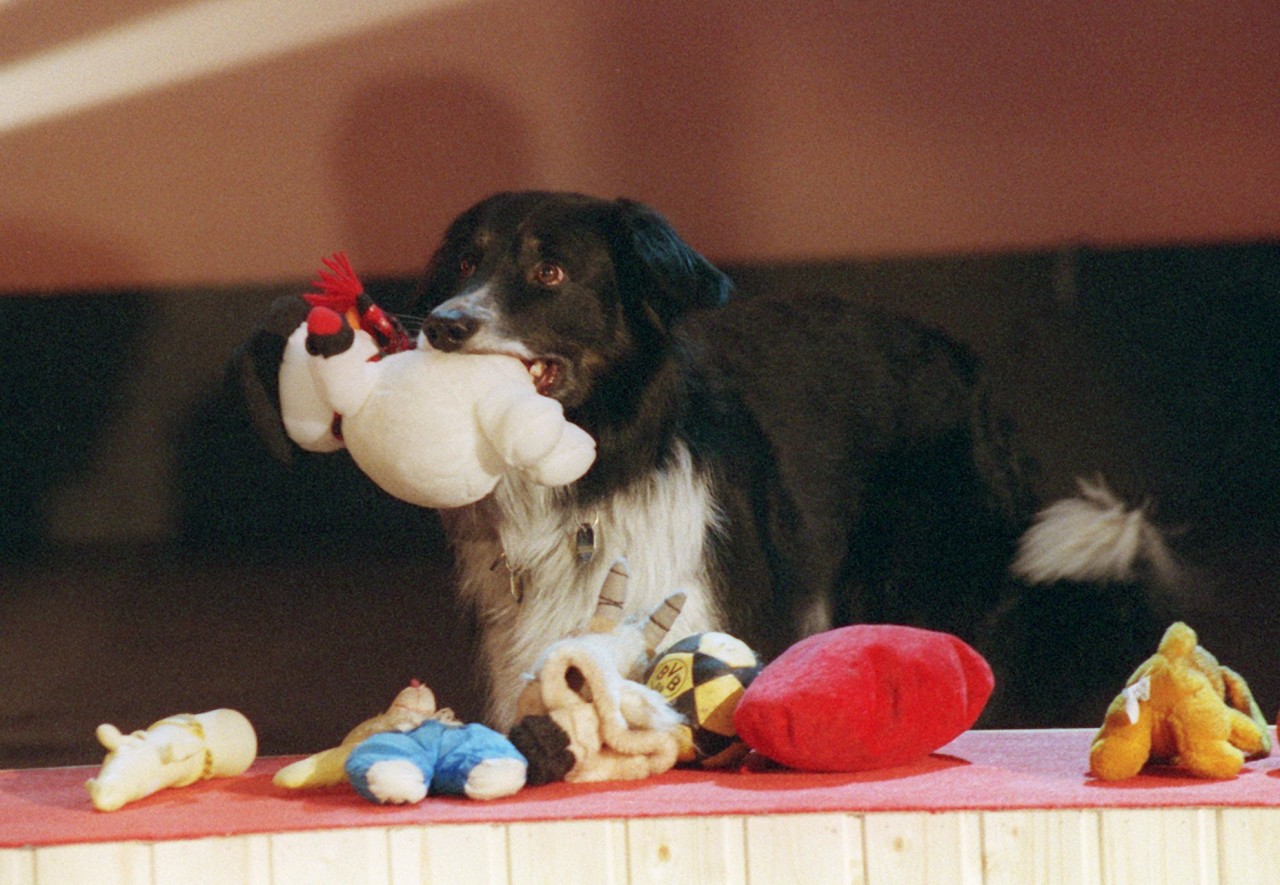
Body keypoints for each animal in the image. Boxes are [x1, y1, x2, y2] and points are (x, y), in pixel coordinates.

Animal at [232, 193, 1177, 732]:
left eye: (550, 270)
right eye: (465, 261)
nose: (444, 323)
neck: (598, 468)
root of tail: (969, 368)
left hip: (926, 581)